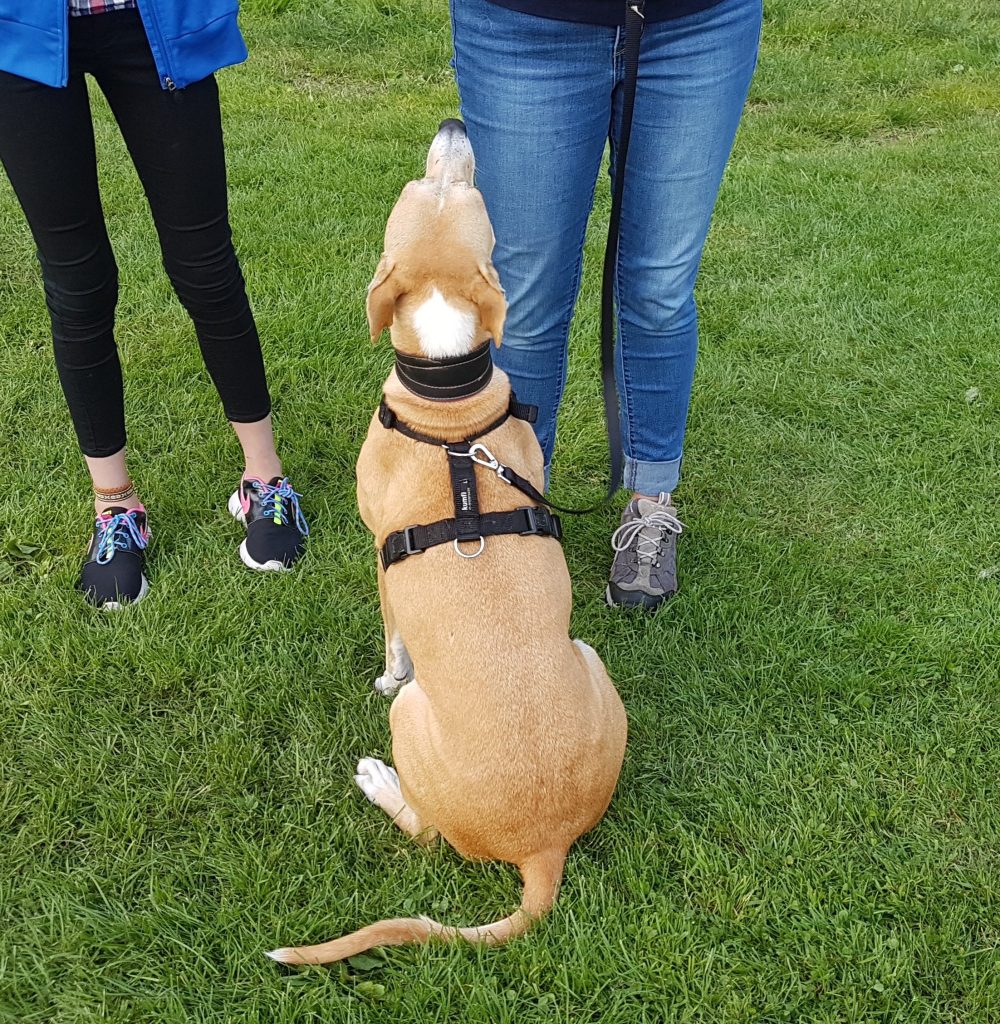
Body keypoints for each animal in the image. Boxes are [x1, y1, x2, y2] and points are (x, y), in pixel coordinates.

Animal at [266, 121, 622, 966]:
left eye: (454, 189)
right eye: (423, 190)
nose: (455, 127)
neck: (448, 401)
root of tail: (542, 848)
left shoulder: (378, 558)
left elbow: (392, 642)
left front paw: (384, 672)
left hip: (414, 739)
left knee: (424, 833)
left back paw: (377, 781)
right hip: (592, 658)